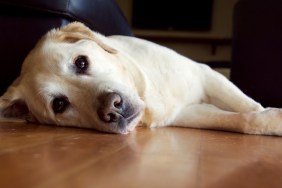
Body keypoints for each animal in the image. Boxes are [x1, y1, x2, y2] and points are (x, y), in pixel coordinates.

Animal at [0, 22, 282, 135]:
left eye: (81, 62)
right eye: (58, 104)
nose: (113, 108)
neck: (148, 92)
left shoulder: (206, 74)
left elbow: (249, 106)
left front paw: (267, 113)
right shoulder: (187, 114)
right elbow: (243, 119)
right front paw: (273, 120)